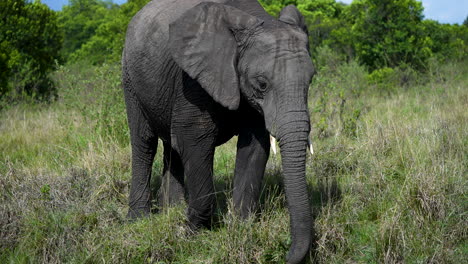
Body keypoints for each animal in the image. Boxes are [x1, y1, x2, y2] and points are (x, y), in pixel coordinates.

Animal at [123, 1, 314, 262]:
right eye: (262, 84)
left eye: (311, 81)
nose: (286, 254)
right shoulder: (192, 80)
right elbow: (194, 141)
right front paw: (189, 232)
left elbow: (254, 147)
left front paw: (240, 229)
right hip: (130, 77)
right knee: (144, 142)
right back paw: (139, 220)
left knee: (171, 148)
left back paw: (171, 211)